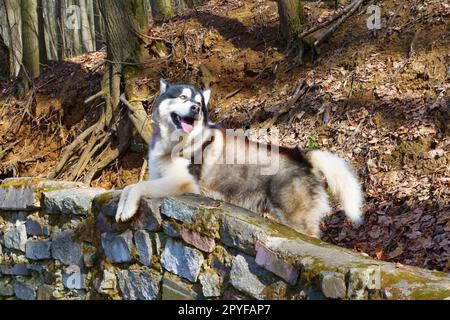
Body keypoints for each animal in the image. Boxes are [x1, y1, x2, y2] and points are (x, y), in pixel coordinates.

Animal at [114, 80, 364, 238]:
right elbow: (128, 187)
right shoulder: (157, 176)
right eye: (183, 97)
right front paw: (120, 208)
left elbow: (137, 186)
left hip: (297, 221)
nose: (195, 108)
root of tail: (302, 156)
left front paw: (127, 210)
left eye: (198, 103)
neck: (175, 143)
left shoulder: (183, 182)